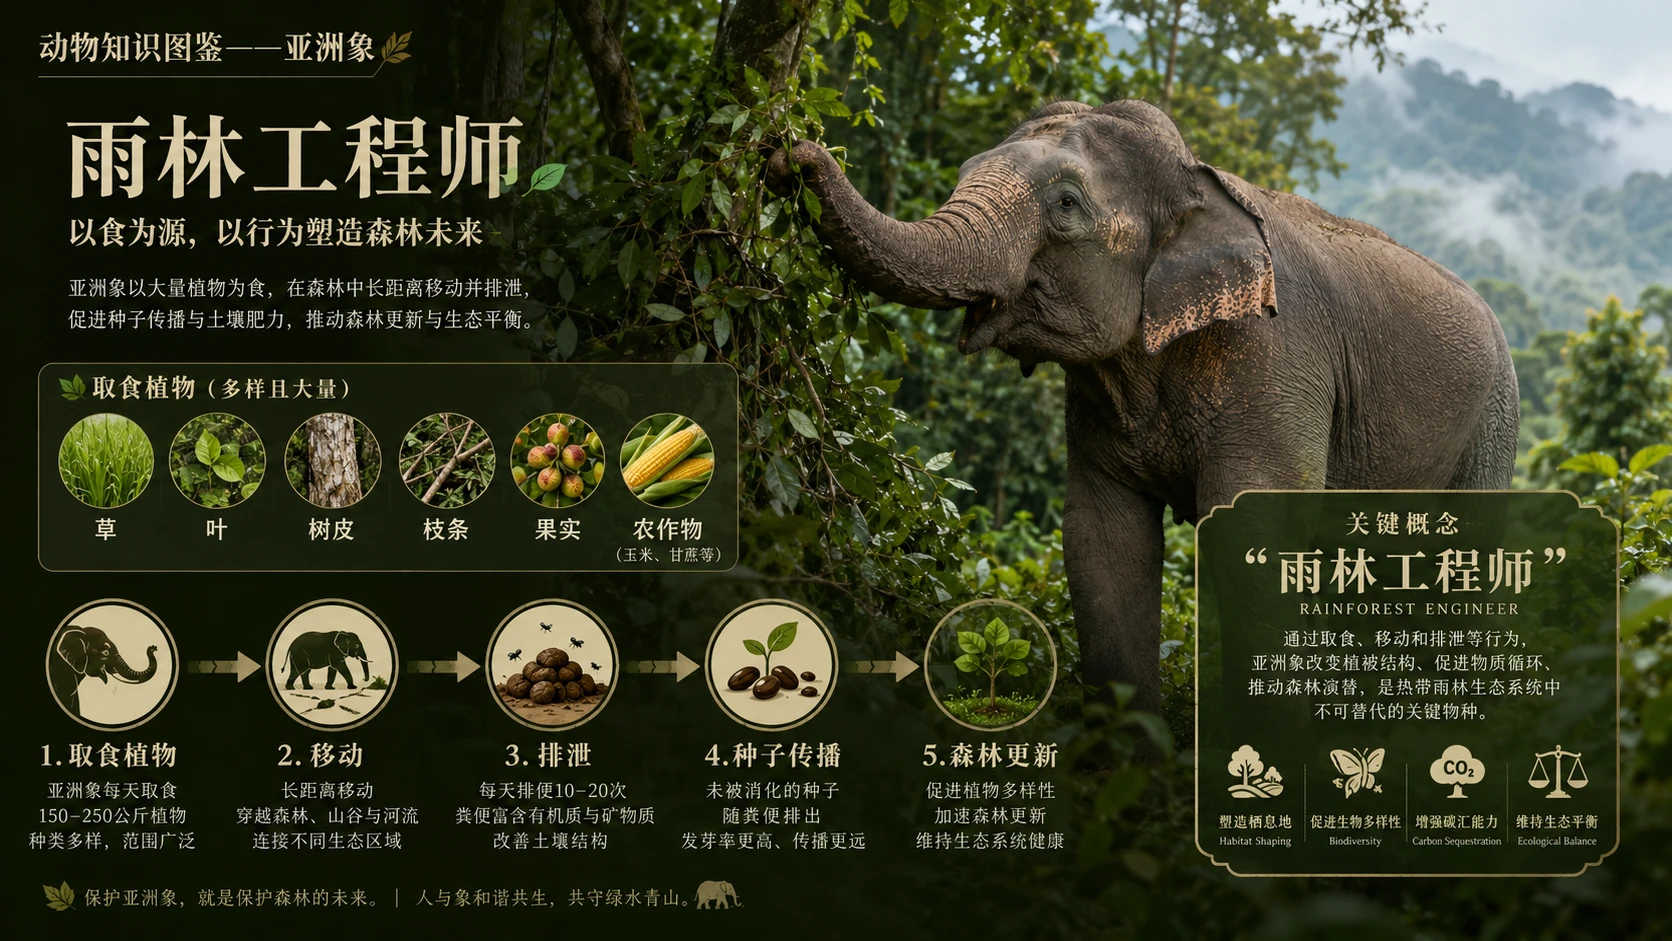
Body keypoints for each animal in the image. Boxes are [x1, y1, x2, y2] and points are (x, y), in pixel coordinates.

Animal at [768, 99, 1518, 711]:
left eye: (1067, 204)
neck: (1196, 182)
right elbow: (1102, 540)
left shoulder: (1278, 361)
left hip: (1493, 420)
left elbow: (1255, 536)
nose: (791, 150)